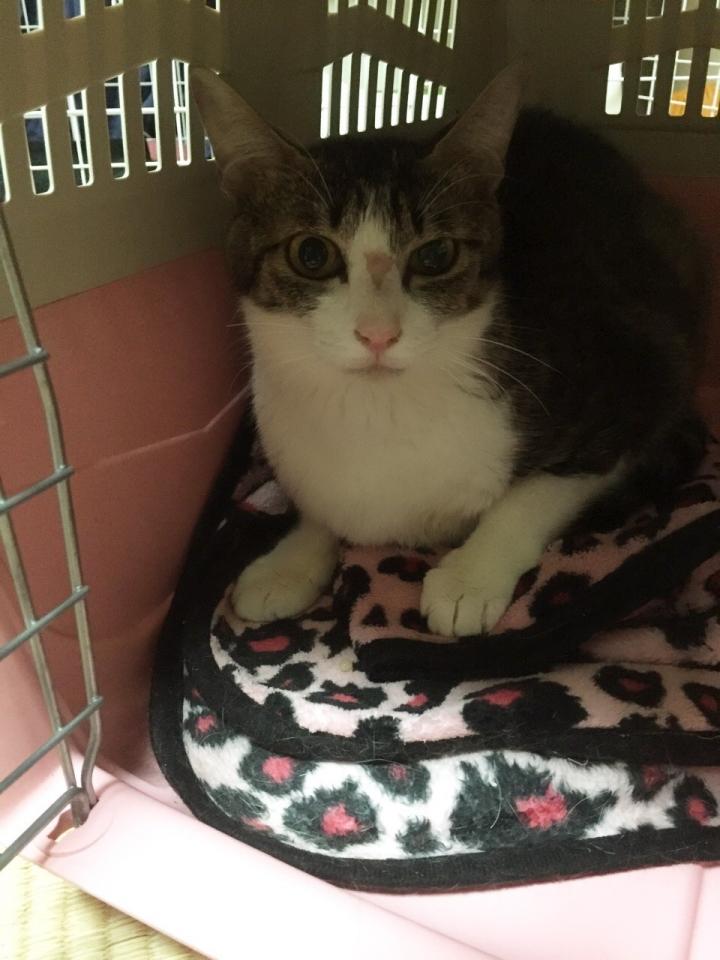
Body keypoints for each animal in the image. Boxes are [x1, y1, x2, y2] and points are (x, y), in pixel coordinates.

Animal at [192, 65, 707, 638]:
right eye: (311, 254)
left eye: (436, 255)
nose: (378, 333)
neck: (375, 411)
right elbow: (323, 504)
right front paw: (290, 562)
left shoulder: (640, 383)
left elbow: (534, 494)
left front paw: (469, 578)